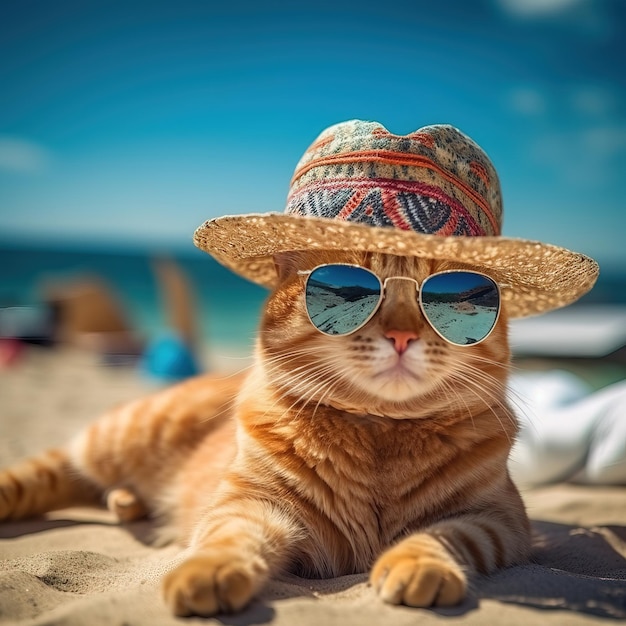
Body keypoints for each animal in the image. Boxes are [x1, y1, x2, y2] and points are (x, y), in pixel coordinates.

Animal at [0, 249, 528, 616]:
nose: (402, 336)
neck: (379, 431)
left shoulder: (496, 521)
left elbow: (441, 535)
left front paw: (420, 565)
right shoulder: (253, 504)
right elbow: (230, 539)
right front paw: (208, 573)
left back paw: (127, 503)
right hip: (109, 442)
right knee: (50, 473)